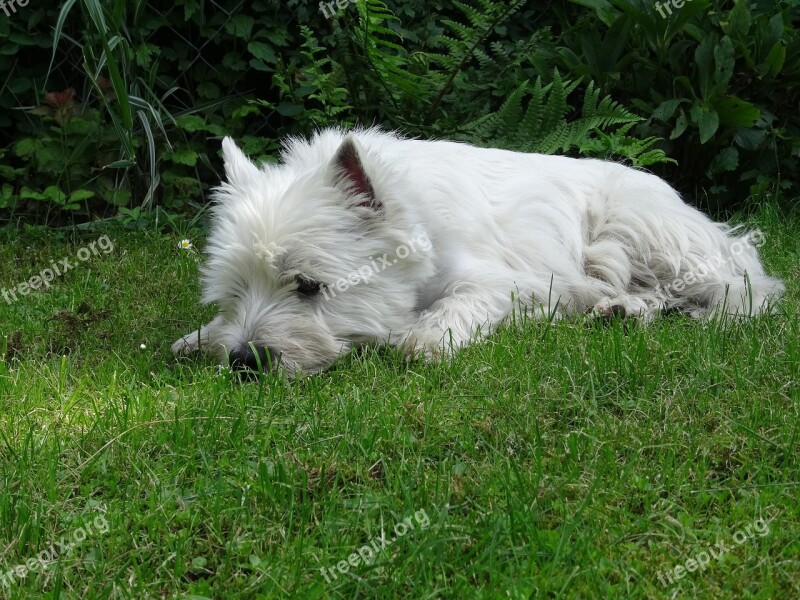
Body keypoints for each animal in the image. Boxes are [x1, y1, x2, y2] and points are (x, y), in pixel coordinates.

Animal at [172, 127, 784, 376]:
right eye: (232, 294)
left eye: (308, 285)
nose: (244, 361)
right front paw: (199, 339)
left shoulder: (512, 280)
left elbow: (457, 308)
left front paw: (425, 338)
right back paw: (619, 310)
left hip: (639, 229)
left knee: (742, 284)